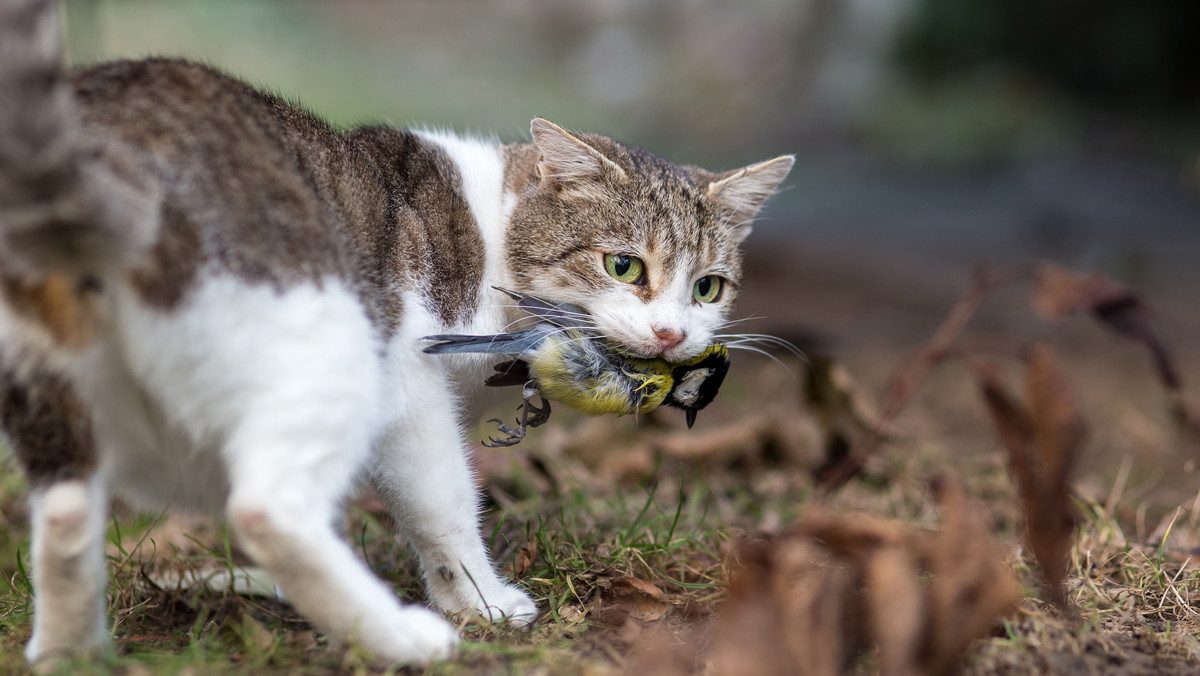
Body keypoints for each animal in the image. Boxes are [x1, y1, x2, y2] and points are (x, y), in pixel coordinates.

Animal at [2, 0, 796, 667]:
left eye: (707, 287)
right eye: (624, 265)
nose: (670, 334)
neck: (490, 231)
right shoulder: (410, 381)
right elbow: (441, 501)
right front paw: (479, 603)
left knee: (67, 513)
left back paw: (74, 655)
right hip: (330, 349)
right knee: (266, 507)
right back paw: (400, 638)